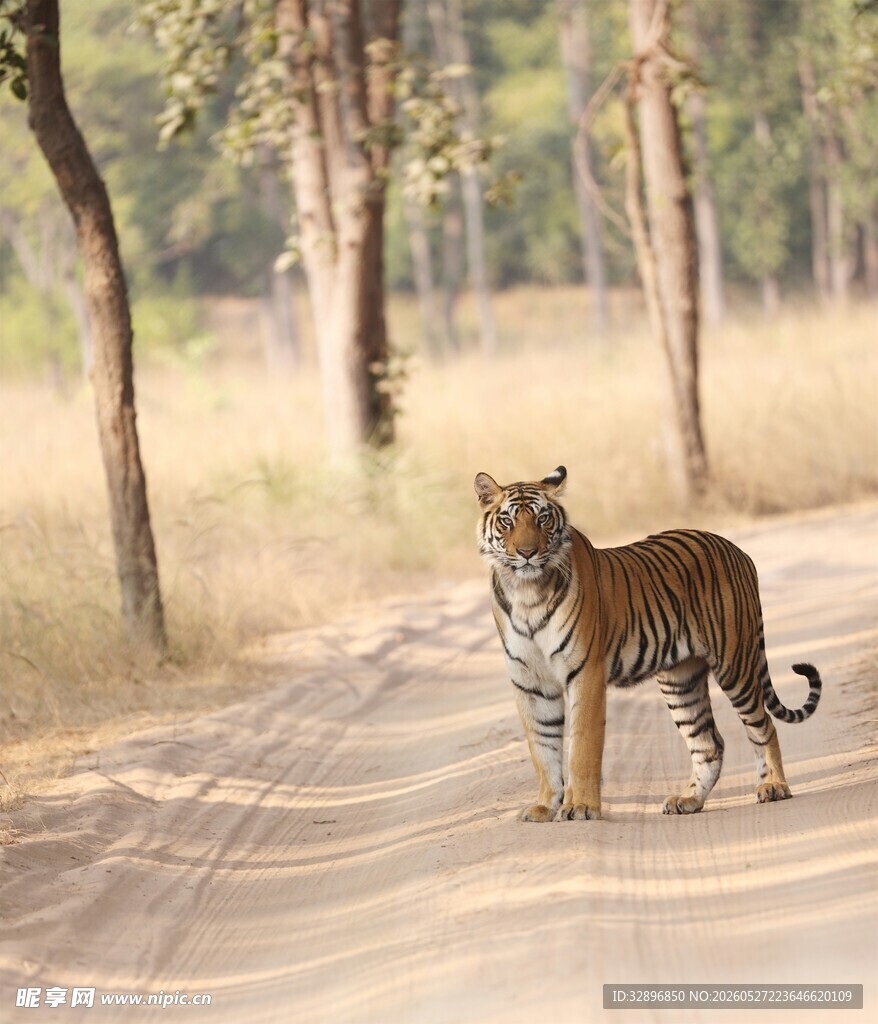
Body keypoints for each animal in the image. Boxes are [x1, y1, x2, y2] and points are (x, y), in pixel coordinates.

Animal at [474, 465, 822, 822]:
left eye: (542, 519)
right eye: (507, 521)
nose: (527, 553)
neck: (527, 592)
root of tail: (738, 550)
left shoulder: (585, 672)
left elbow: (581, 745)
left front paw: (580, 806)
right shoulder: (530, 682)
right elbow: (542, 748)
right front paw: (545, 806)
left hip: (734, 664)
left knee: (764, 726)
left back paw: (774, 787)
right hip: (681, 680)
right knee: (709, 743)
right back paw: (689, 800)